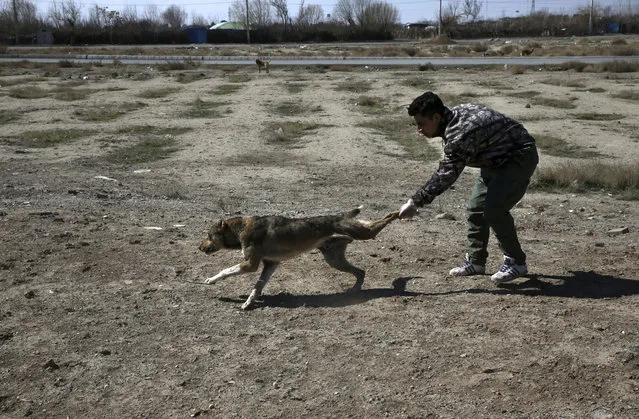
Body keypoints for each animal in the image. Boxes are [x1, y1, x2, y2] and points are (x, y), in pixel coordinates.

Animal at [200, 208, 400, 310]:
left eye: (209, 235)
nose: (199, 248)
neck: (241, 228)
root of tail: (340, 215)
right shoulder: (270, 264)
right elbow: (257, 287)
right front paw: (249, 302)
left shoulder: (250, 264)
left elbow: (225, 271)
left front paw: (211, 280)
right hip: (335, 260)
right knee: (361, 271)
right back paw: (354, 290)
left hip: (364, 234)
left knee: (382, 221)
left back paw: (400, 211)